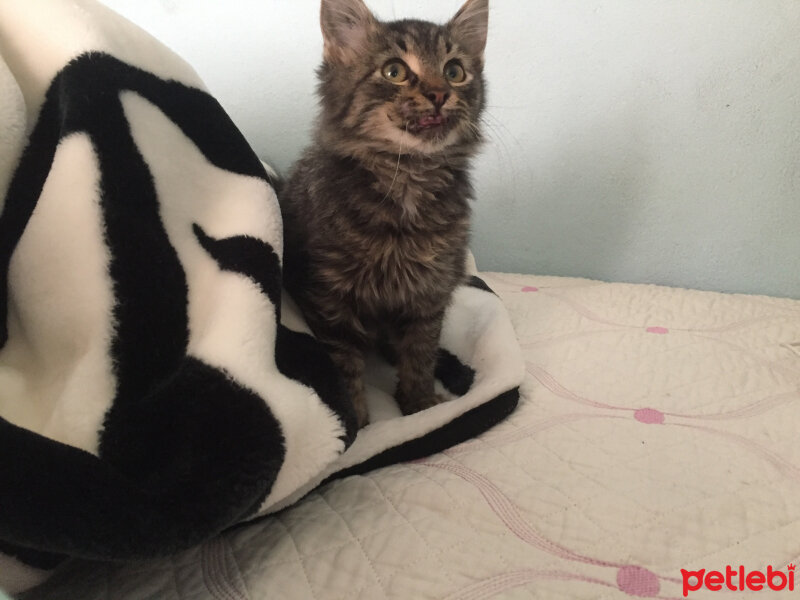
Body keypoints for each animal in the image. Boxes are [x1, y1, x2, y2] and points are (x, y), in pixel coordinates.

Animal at [282, 0, 494, 426]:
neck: (409, 179)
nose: (439, 93)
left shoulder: (429, 296)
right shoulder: (331, 299)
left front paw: (421, 405)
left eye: (454, 71)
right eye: (394, 71)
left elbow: (420, 355)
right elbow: (345, 367)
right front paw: (359, 427)